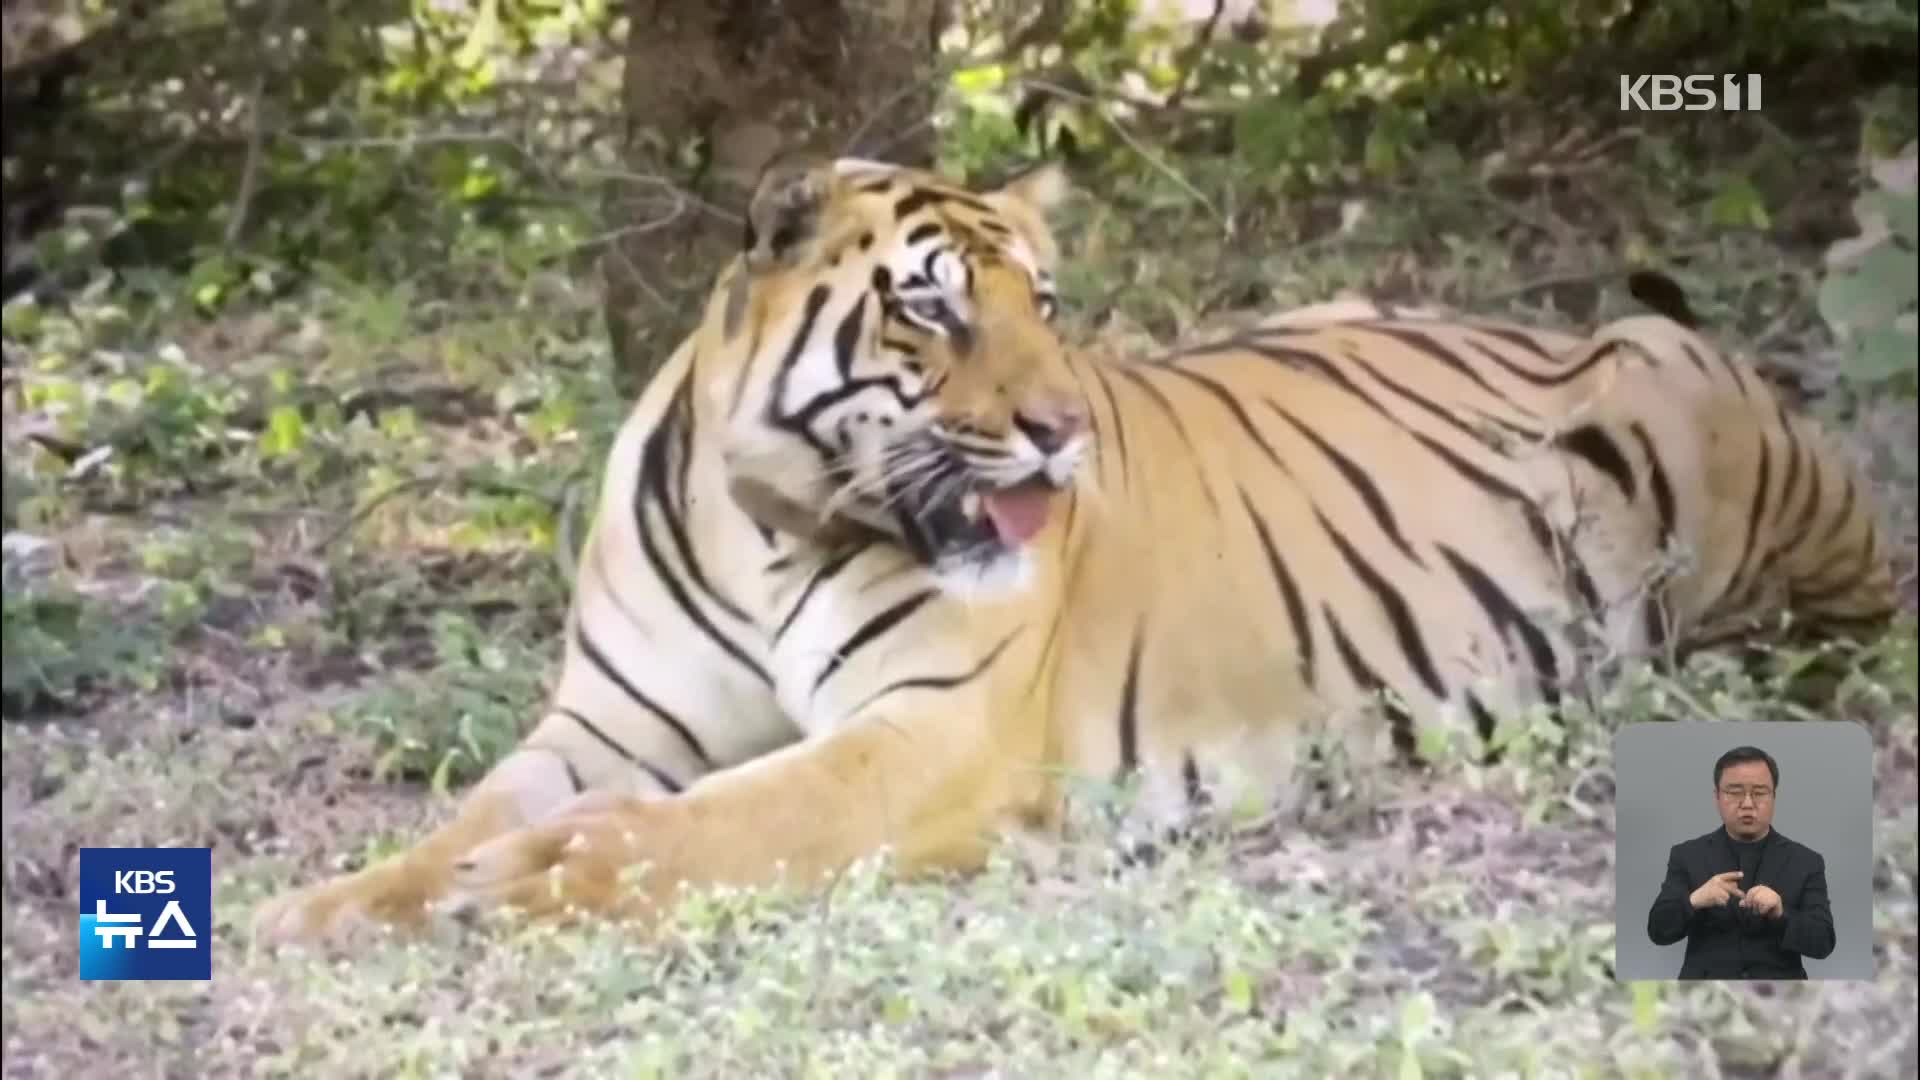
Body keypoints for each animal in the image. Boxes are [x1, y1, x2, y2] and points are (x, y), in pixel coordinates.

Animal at [251, 155, 1889, 937]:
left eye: (1044, 302)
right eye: (931, 307)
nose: (1059, 430)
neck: (767, 517)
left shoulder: (930, 735)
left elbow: (713, 823)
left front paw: (528, 881)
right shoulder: (605, 724)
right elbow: (464, 815)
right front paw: (326, 909)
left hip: (1698, 421)